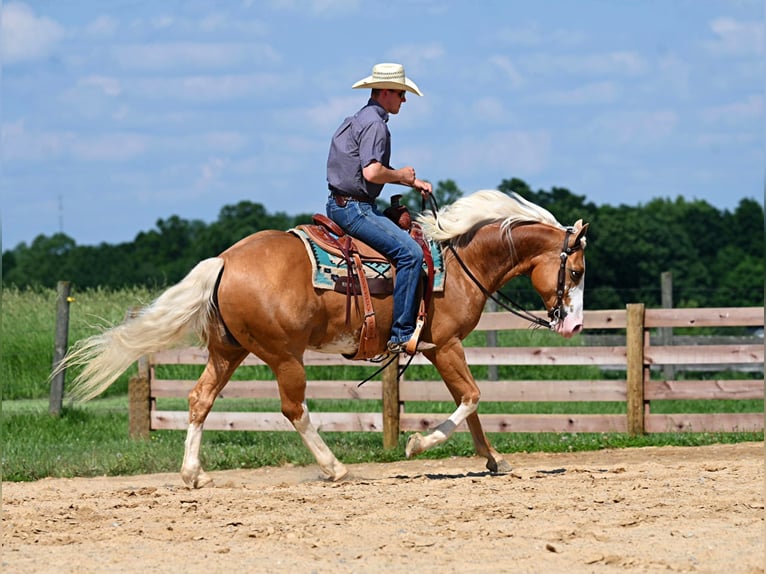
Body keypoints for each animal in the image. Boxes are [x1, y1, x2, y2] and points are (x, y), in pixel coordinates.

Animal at [58, 191, 588, 488]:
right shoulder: (446, 345)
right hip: (283, 355)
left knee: (199, 399)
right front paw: (418, 444)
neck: (458, 262)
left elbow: (471, 405)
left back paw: (193, 475)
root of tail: (224, 260)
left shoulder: (441, 350)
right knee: (294, 409)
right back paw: (335, 468)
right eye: (578, 270)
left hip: (228, 350)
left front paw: (495, 461)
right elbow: (472, 398)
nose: (574, 325)